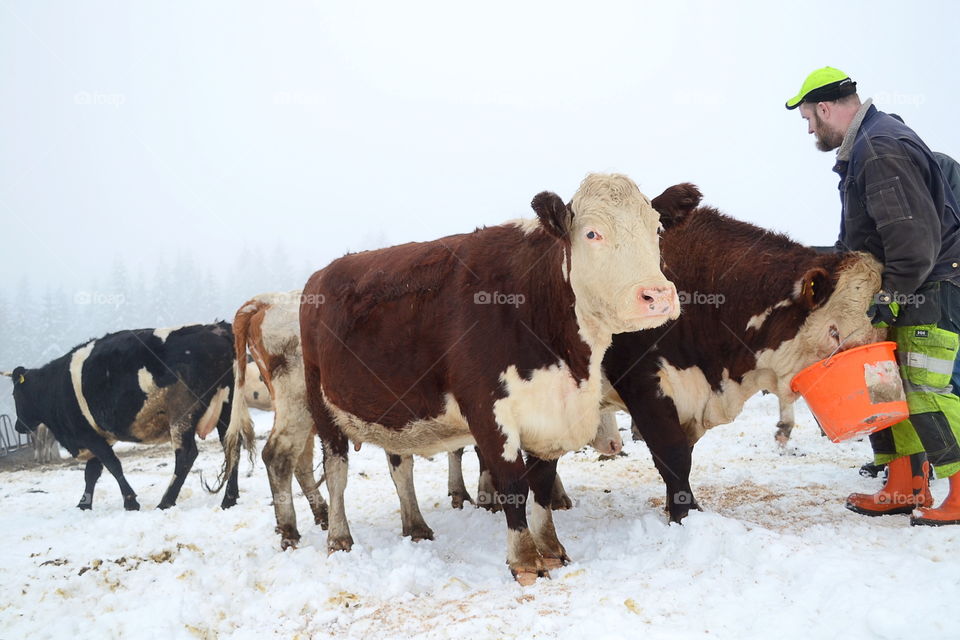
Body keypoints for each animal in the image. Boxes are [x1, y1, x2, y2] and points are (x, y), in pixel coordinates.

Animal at [6, 322, 244, 512]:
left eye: (16, 395)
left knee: (186, 455)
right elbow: (92, 472)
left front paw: (130, 502)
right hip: (227, 410)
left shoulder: (89, 435)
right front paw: (84, 504)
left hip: (182, 413)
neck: (54, 386)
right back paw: (229, 499)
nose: (18, 426)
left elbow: (112, 466)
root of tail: (214, 329)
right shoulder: (97, 436)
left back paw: (165, 502)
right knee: (232, 445)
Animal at [300, 172, 676, 584]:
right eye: (592, 233)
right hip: (321, 402)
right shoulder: (487, 409)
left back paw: (416, 525)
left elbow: (541, 483)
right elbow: (512, 484)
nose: (657, 295)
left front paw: (551, 548)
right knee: (336, 471)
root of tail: (321, 275)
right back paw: (339, 538)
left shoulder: (550, 413)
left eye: (657, 228)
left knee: (401, 467)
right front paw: (525, 560)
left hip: (392, 409)